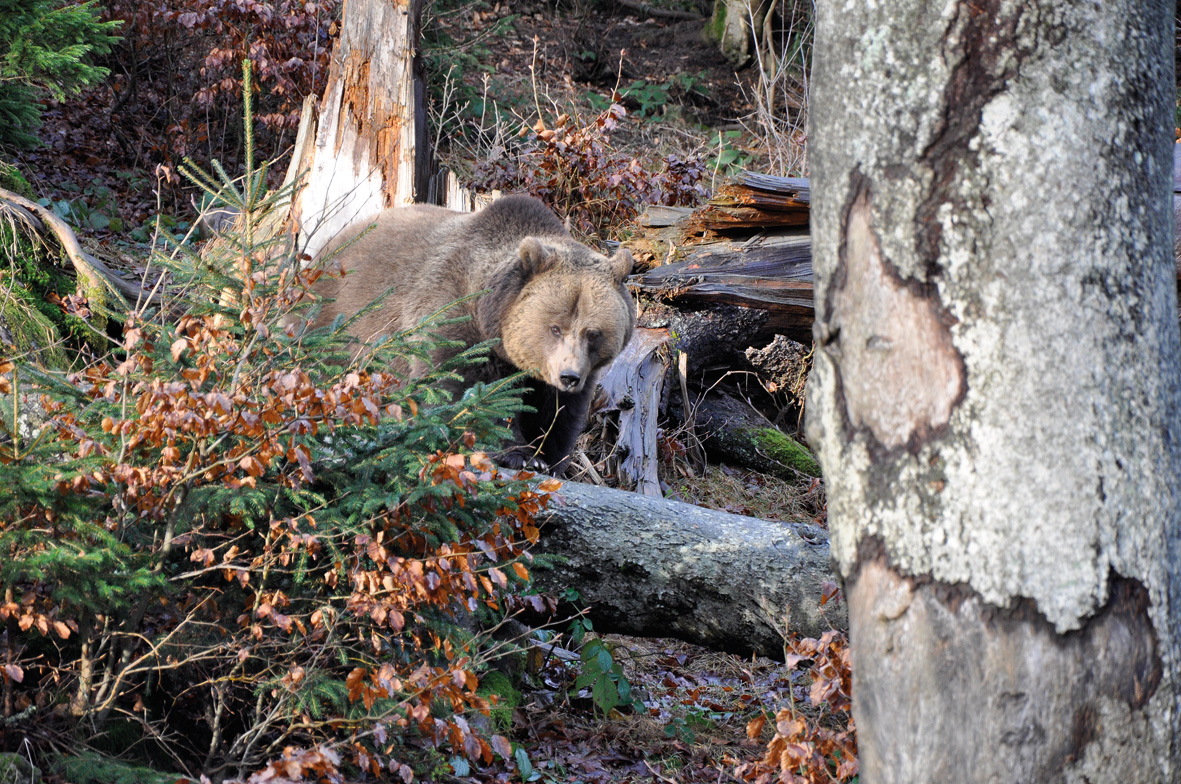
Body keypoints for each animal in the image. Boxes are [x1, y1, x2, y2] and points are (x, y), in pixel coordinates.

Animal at [309, 194, 633, 477]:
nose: (569, 376)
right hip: (336, 319)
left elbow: (556, 412)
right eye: (555, 327)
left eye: (593, 332)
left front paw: (547, 458)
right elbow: (470, 395)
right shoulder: (453, 322)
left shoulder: (562, 372)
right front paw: (519, 455)